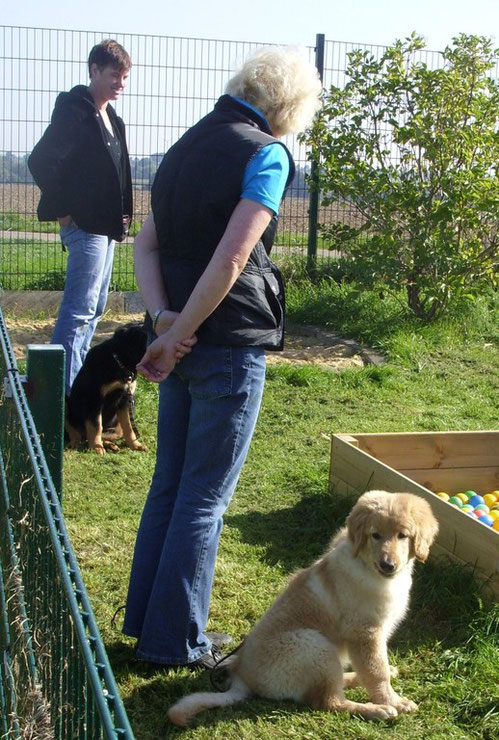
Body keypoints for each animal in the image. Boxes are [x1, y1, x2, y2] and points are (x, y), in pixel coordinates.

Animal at [64, 326, 147, 456]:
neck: (120, 363)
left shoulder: (125, 400)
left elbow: (128, 427)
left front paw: (135, 445)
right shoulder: (94, 399)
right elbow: (96, 425)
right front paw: (96, 447)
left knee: (108, 435)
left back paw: (111, 445)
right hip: (66, 404)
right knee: (74, 431)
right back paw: (74, 444)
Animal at [170, 488, 440, 724]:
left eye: (403, 535)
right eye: (375, 535)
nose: (387, 565)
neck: (367, 567)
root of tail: (241, 677)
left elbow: (375, 669)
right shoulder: (365, 633)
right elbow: (376, 672)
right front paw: (394, 701)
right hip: (313, 645)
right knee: (329, 702)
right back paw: (376, 710)